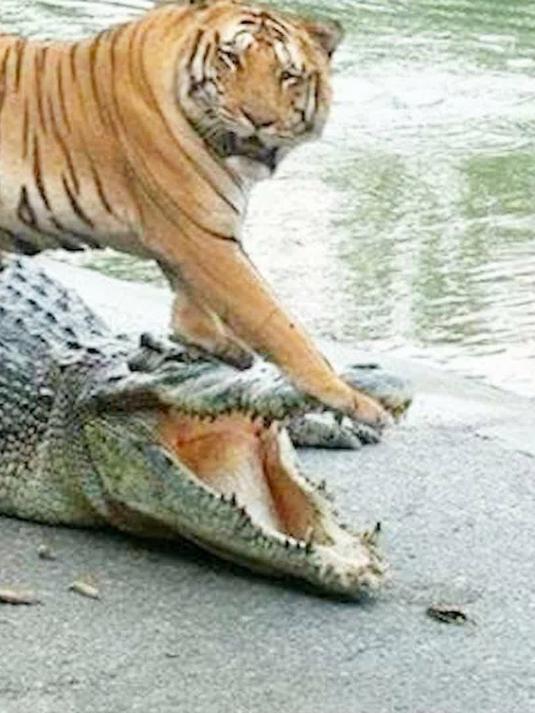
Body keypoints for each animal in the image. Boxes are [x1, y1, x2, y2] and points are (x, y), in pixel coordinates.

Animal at [0, 0, 388, 427]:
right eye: (231, 59)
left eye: (287, 75)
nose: (258, 119)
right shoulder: (203, 237)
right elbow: (277, 322)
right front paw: (350, 398)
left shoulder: (193, 238)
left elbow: (196, 302)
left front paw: (210, 342)